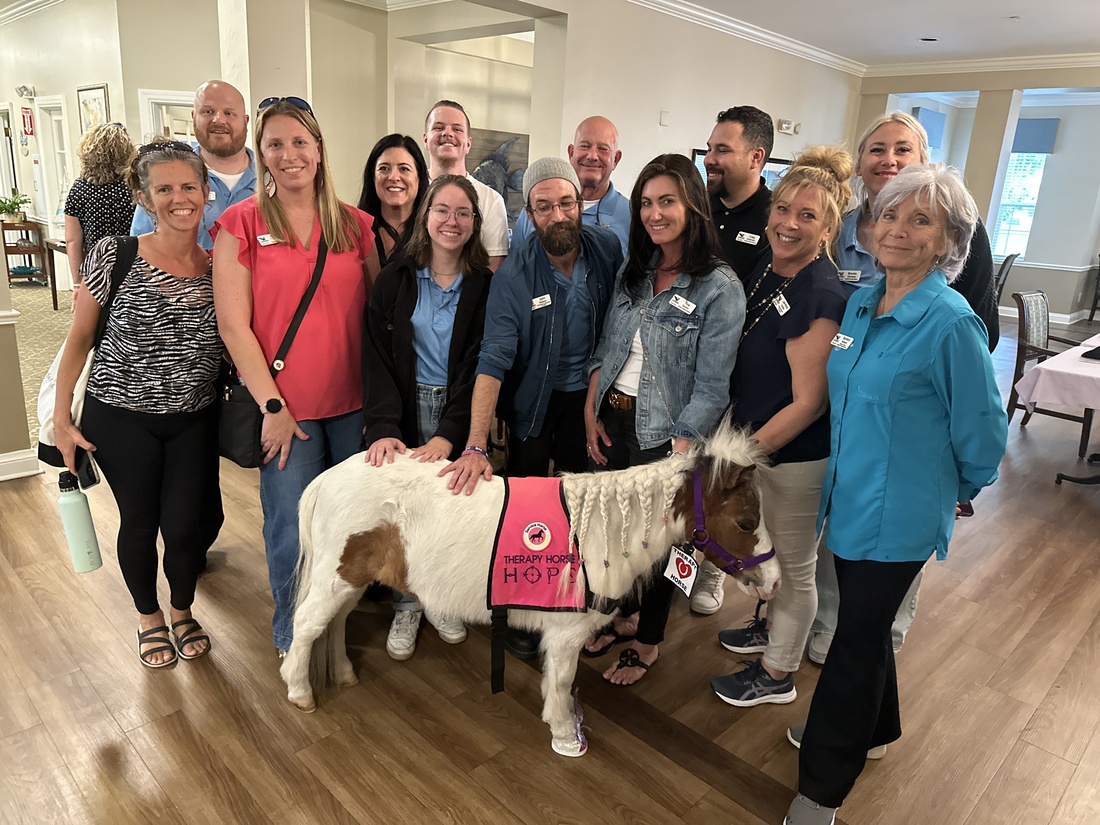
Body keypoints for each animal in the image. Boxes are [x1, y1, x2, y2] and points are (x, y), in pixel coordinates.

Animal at [283, 422, 783, 761]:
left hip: (352, 578)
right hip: (335, 577)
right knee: (307, 626)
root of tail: (328, 477)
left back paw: (343, 672)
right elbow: (560, 683)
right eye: (745, 522)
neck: (596, 534)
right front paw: (565, 734)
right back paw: (299, 690)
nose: (775, 581)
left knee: (334, 623)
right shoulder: (566, 634)